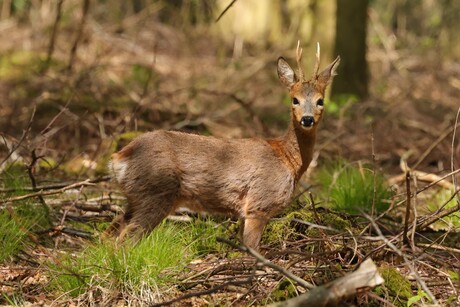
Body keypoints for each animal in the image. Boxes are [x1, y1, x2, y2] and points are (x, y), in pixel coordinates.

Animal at [106, 43, 340, 250]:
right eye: (294, 99)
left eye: (320, 101)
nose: (307, 119)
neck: (287, 159)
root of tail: (119, 158)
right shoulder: (259, 203)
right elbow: (252, 250)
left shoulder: (244, 212)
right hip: (155, 192)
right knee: (124, 241)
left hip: (135, 197)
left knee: (108, 232)